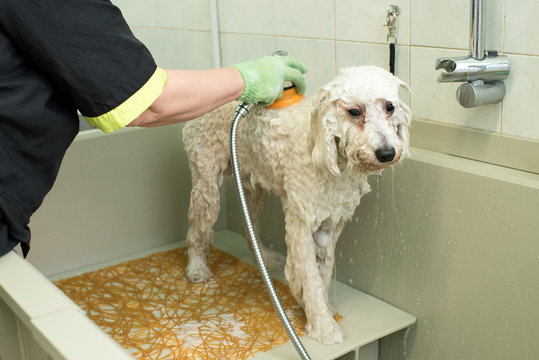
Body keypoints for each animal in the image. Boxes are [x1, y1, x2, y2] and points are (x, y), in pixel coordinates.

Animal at [182, 66, 414, 344]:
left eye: (389, 107)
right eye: (354, 112)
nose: (387, 153)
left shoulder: (331, 221)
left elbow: (324, 272)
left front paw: (322, 308)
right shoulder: (301, 222)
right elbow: (310, 277)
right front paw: (323, 327)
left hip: (252, 182)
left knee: (248, 225)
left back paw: (265, 259)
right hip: (206, 179)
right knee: (199, 227)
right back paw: (197, 268)